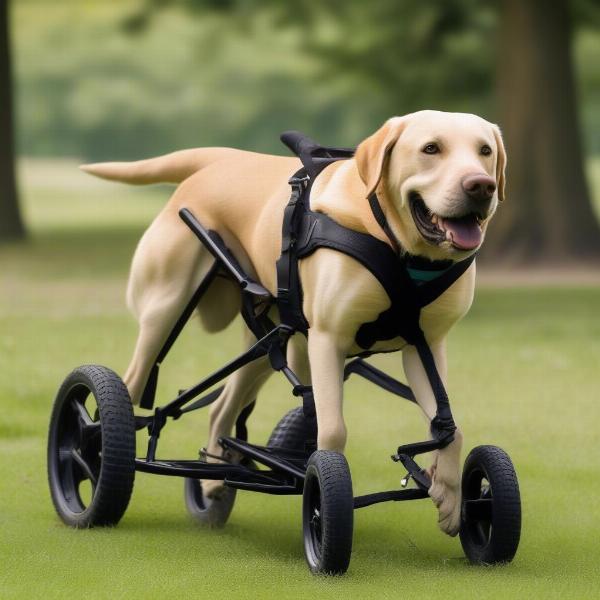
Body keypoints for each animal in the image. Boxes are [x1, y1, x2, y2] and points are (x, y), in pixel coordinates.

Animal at [83, 110, 506, 536]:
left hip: (270, 341)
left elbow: (449, 427)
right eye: (431, 148)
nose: (481, 186)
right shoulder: (328, 340)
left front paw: (451, 493)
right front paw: (322, 499)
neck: (391, 240)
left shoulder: (426, 346)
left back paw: (213, 479)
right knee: (130, 387)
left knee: (222, 407)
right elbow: (332, 430)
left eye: (485, 151)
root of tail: (222, 159)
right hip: (166, 309)